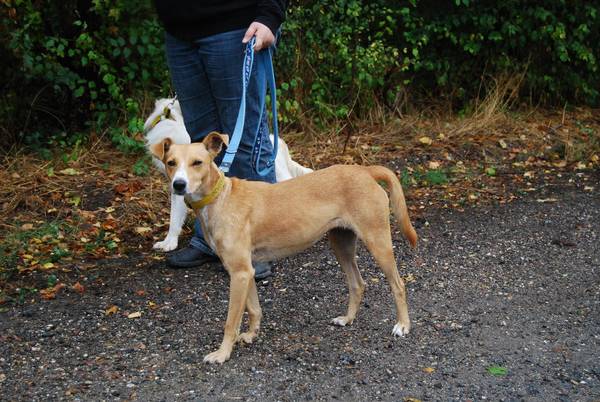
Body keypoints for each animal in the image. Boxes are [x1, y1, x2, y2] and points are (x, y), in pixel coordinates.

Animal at [150, 132, 418, 364]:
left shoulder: (239, 273)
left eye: (197, 163)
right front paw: (251, 335)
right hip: (341, 244)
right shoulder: (245, 272)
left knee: (398, 285)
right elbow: (253, 308)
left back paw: (403, 325)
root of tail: (365, 170)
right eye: (171, 163)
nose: (179, 185)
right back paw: (347, 319)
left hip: (378, 242)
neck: (221, 197)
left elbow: (230, 321)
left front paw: (222, 353)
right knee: (357, 284)